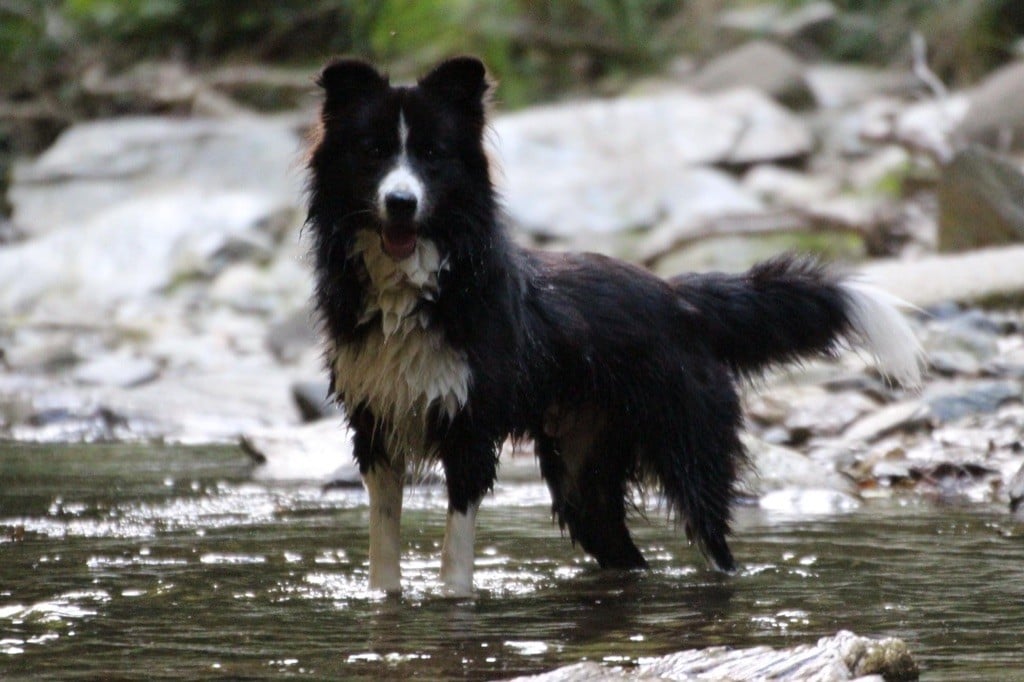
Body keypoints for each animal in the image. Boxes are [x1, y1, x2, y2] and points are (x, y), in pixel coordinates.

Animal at [303, 55, 921, 593]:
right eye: (374, 152)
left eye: (432, 154)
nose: (401, 202)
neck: (413, 286)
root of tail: (679, 298)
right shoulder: (375, 427)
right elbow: (383, 555)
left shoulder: (470, 431)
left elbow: (456, 561)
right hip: (585, 477)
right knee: (625, 553)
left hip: (688, 454)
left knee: (716, 549)